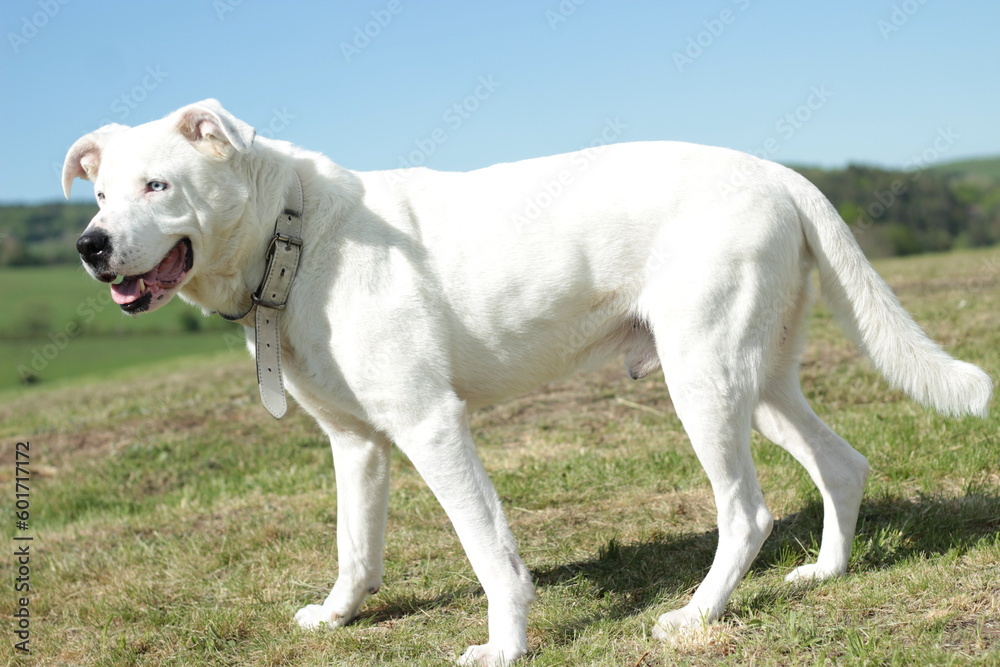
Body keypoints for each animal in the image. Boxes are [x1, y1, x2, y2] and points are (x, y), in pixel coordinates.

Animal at [64, 100, 992, 667]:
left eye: (158, 185)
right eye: (100, 191)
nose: (90, 245)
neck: (295, 231)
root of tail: (779, 172)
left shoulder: (432, 425)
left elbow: (489, 552)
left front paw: (504, 645)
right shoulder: (357, 444)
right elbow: (354, 546)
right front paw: (338, 613)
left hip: (705, 382)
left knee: (747, 511)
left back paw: (697, 615)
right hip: (756, 379)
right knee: (842, 463)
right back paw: (826, 572)